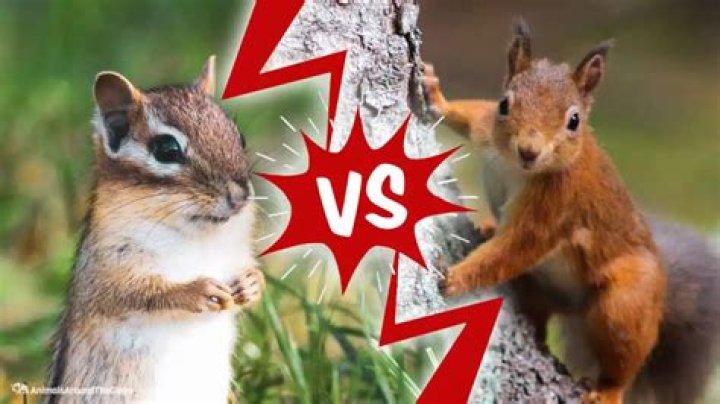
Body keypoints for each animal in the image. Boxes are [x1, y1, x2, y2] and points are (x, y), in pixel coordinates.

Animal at [46, 56, 264, 403]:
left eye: (238, 136)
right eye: (167, 150)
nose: (241, 196)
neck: (198, 236)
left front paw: (251, 283)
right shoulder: (107, 269)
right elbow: (137, 294)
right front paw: (198, 290)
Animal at [424, 18, 720, 404]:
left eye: (574, 121)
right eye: (505, 104)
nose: (529, 150)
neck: (517, 168)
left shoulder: (555, 206)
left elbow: (513, 249)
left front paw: (456, 278)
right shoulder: (488, 127)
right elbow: (473, 113)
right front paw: (435, 95)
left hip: (626, 302)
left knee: (625, 355)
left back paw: (609, 390)